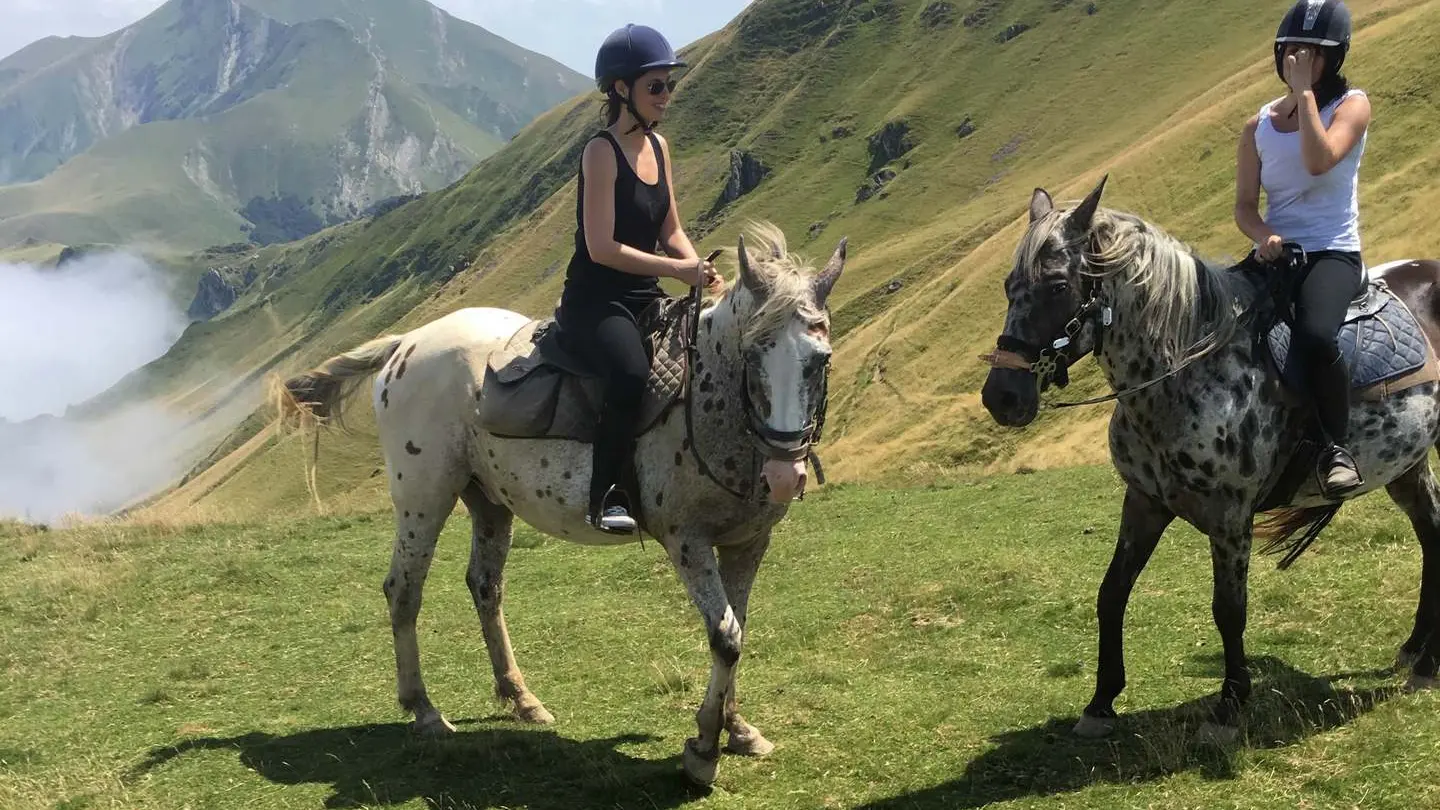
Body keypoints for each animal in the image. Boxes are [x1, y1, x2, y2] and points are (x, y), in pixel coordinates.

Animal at [275, 220, 846, 784]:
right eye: (752, 353)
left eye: (820, 360)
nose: (784, 474)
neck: (710, 399)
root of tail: (406, 342)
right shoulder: (688, 542)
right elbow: (725, 636)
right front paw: (704, 747)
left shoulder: (749, 542)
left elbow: (737, 629)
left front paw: (739, 729)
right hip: (423, 497)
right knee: (403, 589)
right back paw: (425, 711)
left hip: (488, 500)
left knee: (485, 586)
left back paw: (521, 698)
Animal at [979, 177, 1440, 743]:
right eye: (1009, 286)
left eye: (1058, 286)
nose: (1001, 397)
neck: (1185, 373)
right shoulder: (1145, 502)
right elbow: (1112, 593)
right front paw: (1101, 702)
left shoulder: (1230, 518)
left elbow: (1229, 610)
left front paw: (1230, 705)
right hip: (1406, 462)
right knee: (1431, 532)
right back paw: (1418, 652)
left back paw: (1427, 664)